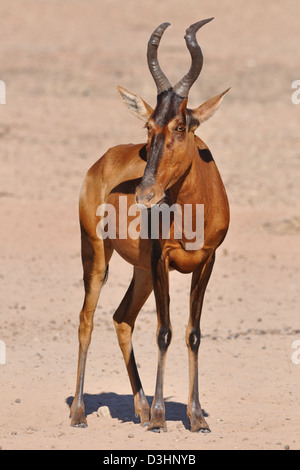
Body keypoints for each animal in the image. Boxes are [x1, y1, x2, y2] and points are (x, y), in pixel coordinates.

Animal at [70, 18, 230, 432]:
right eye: (148, 125)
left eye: (181, 126)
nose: (145, 193)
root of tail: (101, 161)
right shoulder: (162, 260)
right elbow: (164, 332)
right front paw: (160, 417)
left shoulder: (206, 261)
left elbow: (192, 333)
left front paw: (196, 417)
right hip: (96, 253)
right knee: (86, 319)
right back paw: (80, 413)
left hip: (141, 272)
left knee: (122, 318)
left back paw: (140, 408)